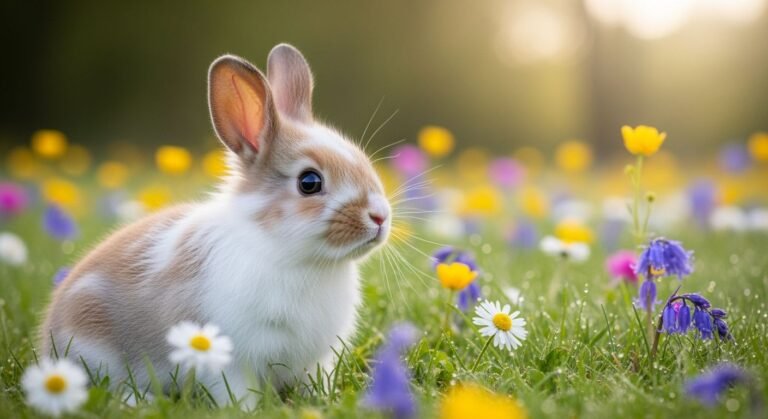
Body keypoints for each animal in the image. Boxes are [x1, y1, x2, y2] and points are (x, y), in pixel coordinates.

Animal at [39, 43, 391, 408]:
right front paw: (248, 410)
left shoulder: (315, 360)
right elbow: (235, 390)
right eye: (309, 182)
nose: (380, 216)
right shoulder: (231, 358)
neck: (291, 253)